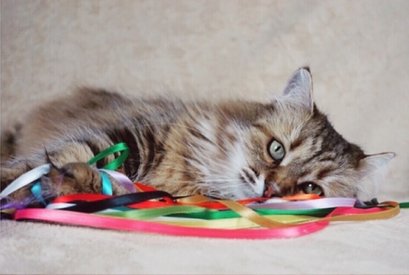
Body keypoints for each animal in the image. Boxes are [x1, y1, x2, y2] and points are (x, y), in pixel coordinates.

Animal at [0, 67, 396, 205]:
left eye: (311, 188)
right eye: (277, 150)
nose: (270, 188)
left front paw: (64, 183)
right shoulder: (129, 137)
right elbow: (46, 161)